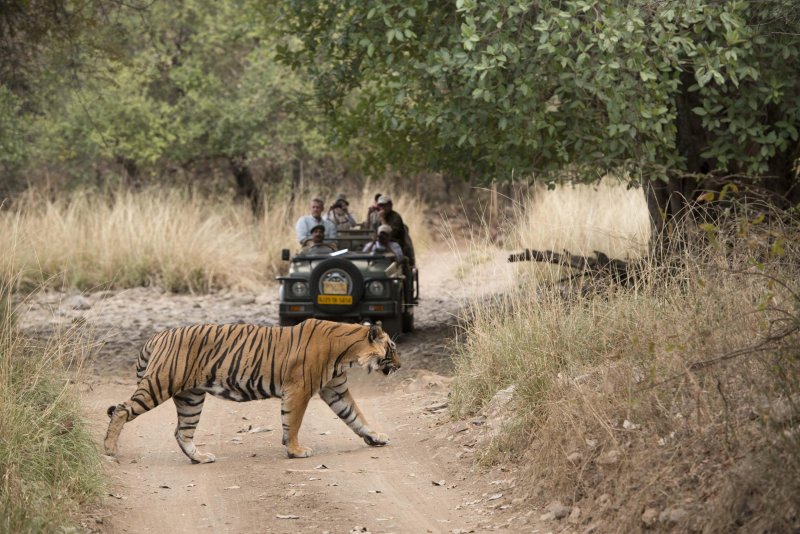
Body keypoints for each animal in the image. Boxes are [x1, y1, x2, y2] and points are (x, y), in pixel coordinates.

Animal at [103, 320, 400, 462]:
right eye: (392, 348)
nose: (399, 365)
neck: (347, 353)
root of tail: (156, 335)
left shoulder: (334, 390)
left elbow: (356, 416)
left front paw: (376, 437)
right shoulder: (299, 389)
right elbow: (293, 422)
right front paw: (295, 451)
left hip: (191, 398)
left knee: (182, 432)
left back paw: (200, 458)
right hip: (160, 384)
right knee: (121, 409)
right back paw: (109, 450)